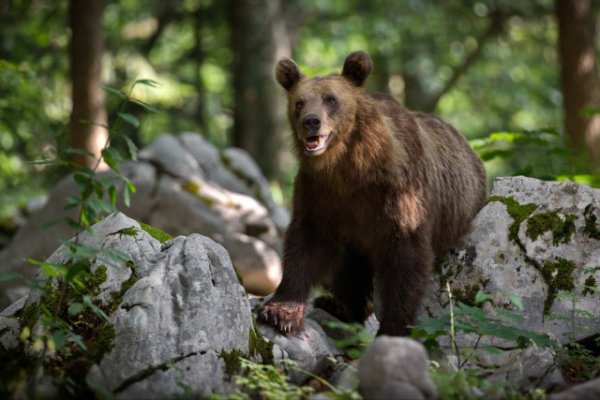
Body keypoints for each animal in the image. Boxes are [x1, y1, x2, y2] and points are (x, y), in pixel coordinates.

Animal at [258, 50, 488, 338]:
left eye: (331, 99)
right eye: (299, 102)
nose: (311, 121)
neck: (348, 168)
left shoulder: (399, 193)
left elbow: (406, 258)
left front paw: (393, 329)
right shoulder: (320, 193)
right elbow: (305, 244)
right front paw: (280, 313)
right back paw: (338, 305)